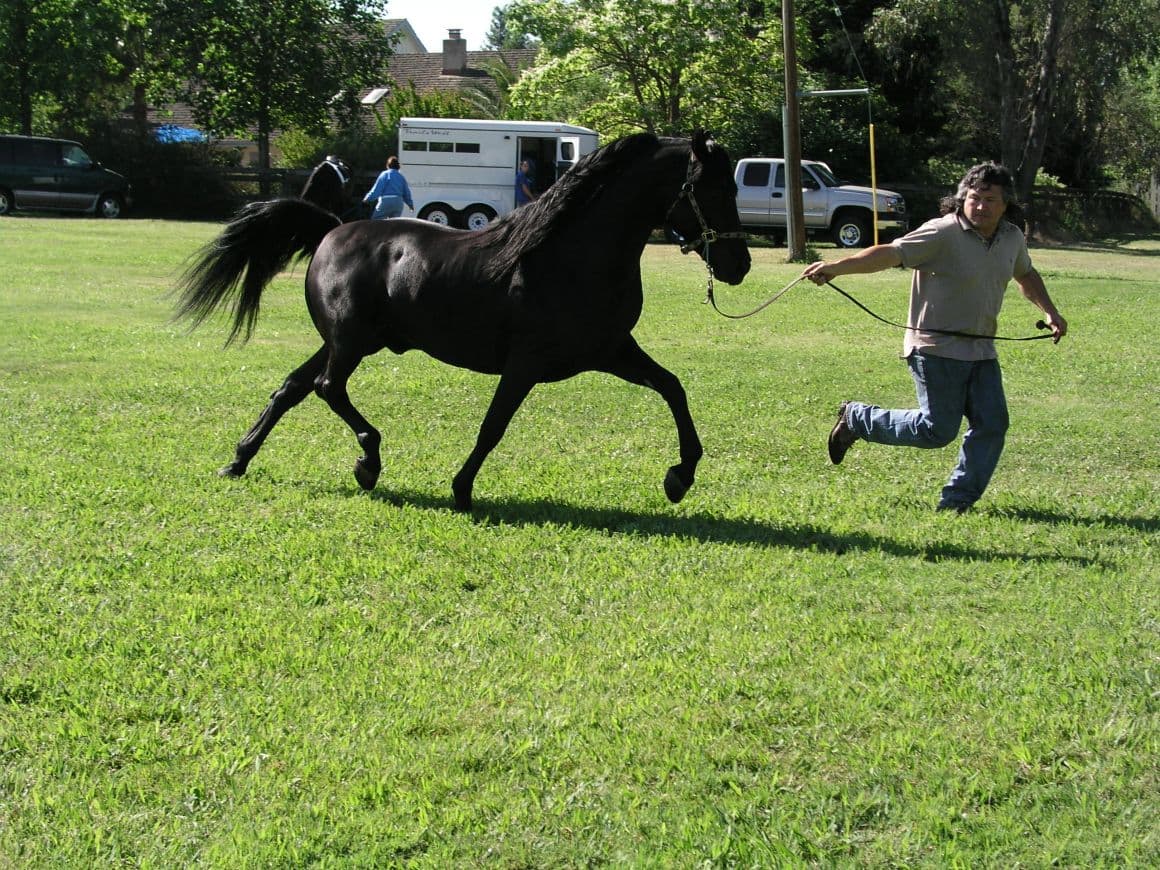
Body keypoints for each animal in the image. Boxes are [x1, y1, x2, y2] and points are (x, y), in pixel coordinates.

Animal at [175, 130, 750, 511]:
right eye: (715, 190)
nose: (738, 265)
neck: (571, 255)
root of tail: (333, 230)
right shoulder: (526, 363)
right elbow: (494, 426)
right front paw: (462, 489)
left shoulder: (611, 350)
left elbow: (672, 388)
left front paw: (679, 476)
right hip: (352, 342)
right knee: (325, 388)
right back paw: (368, 462)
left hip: (348, 340)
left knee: (291, 388)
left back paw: (239, 459)